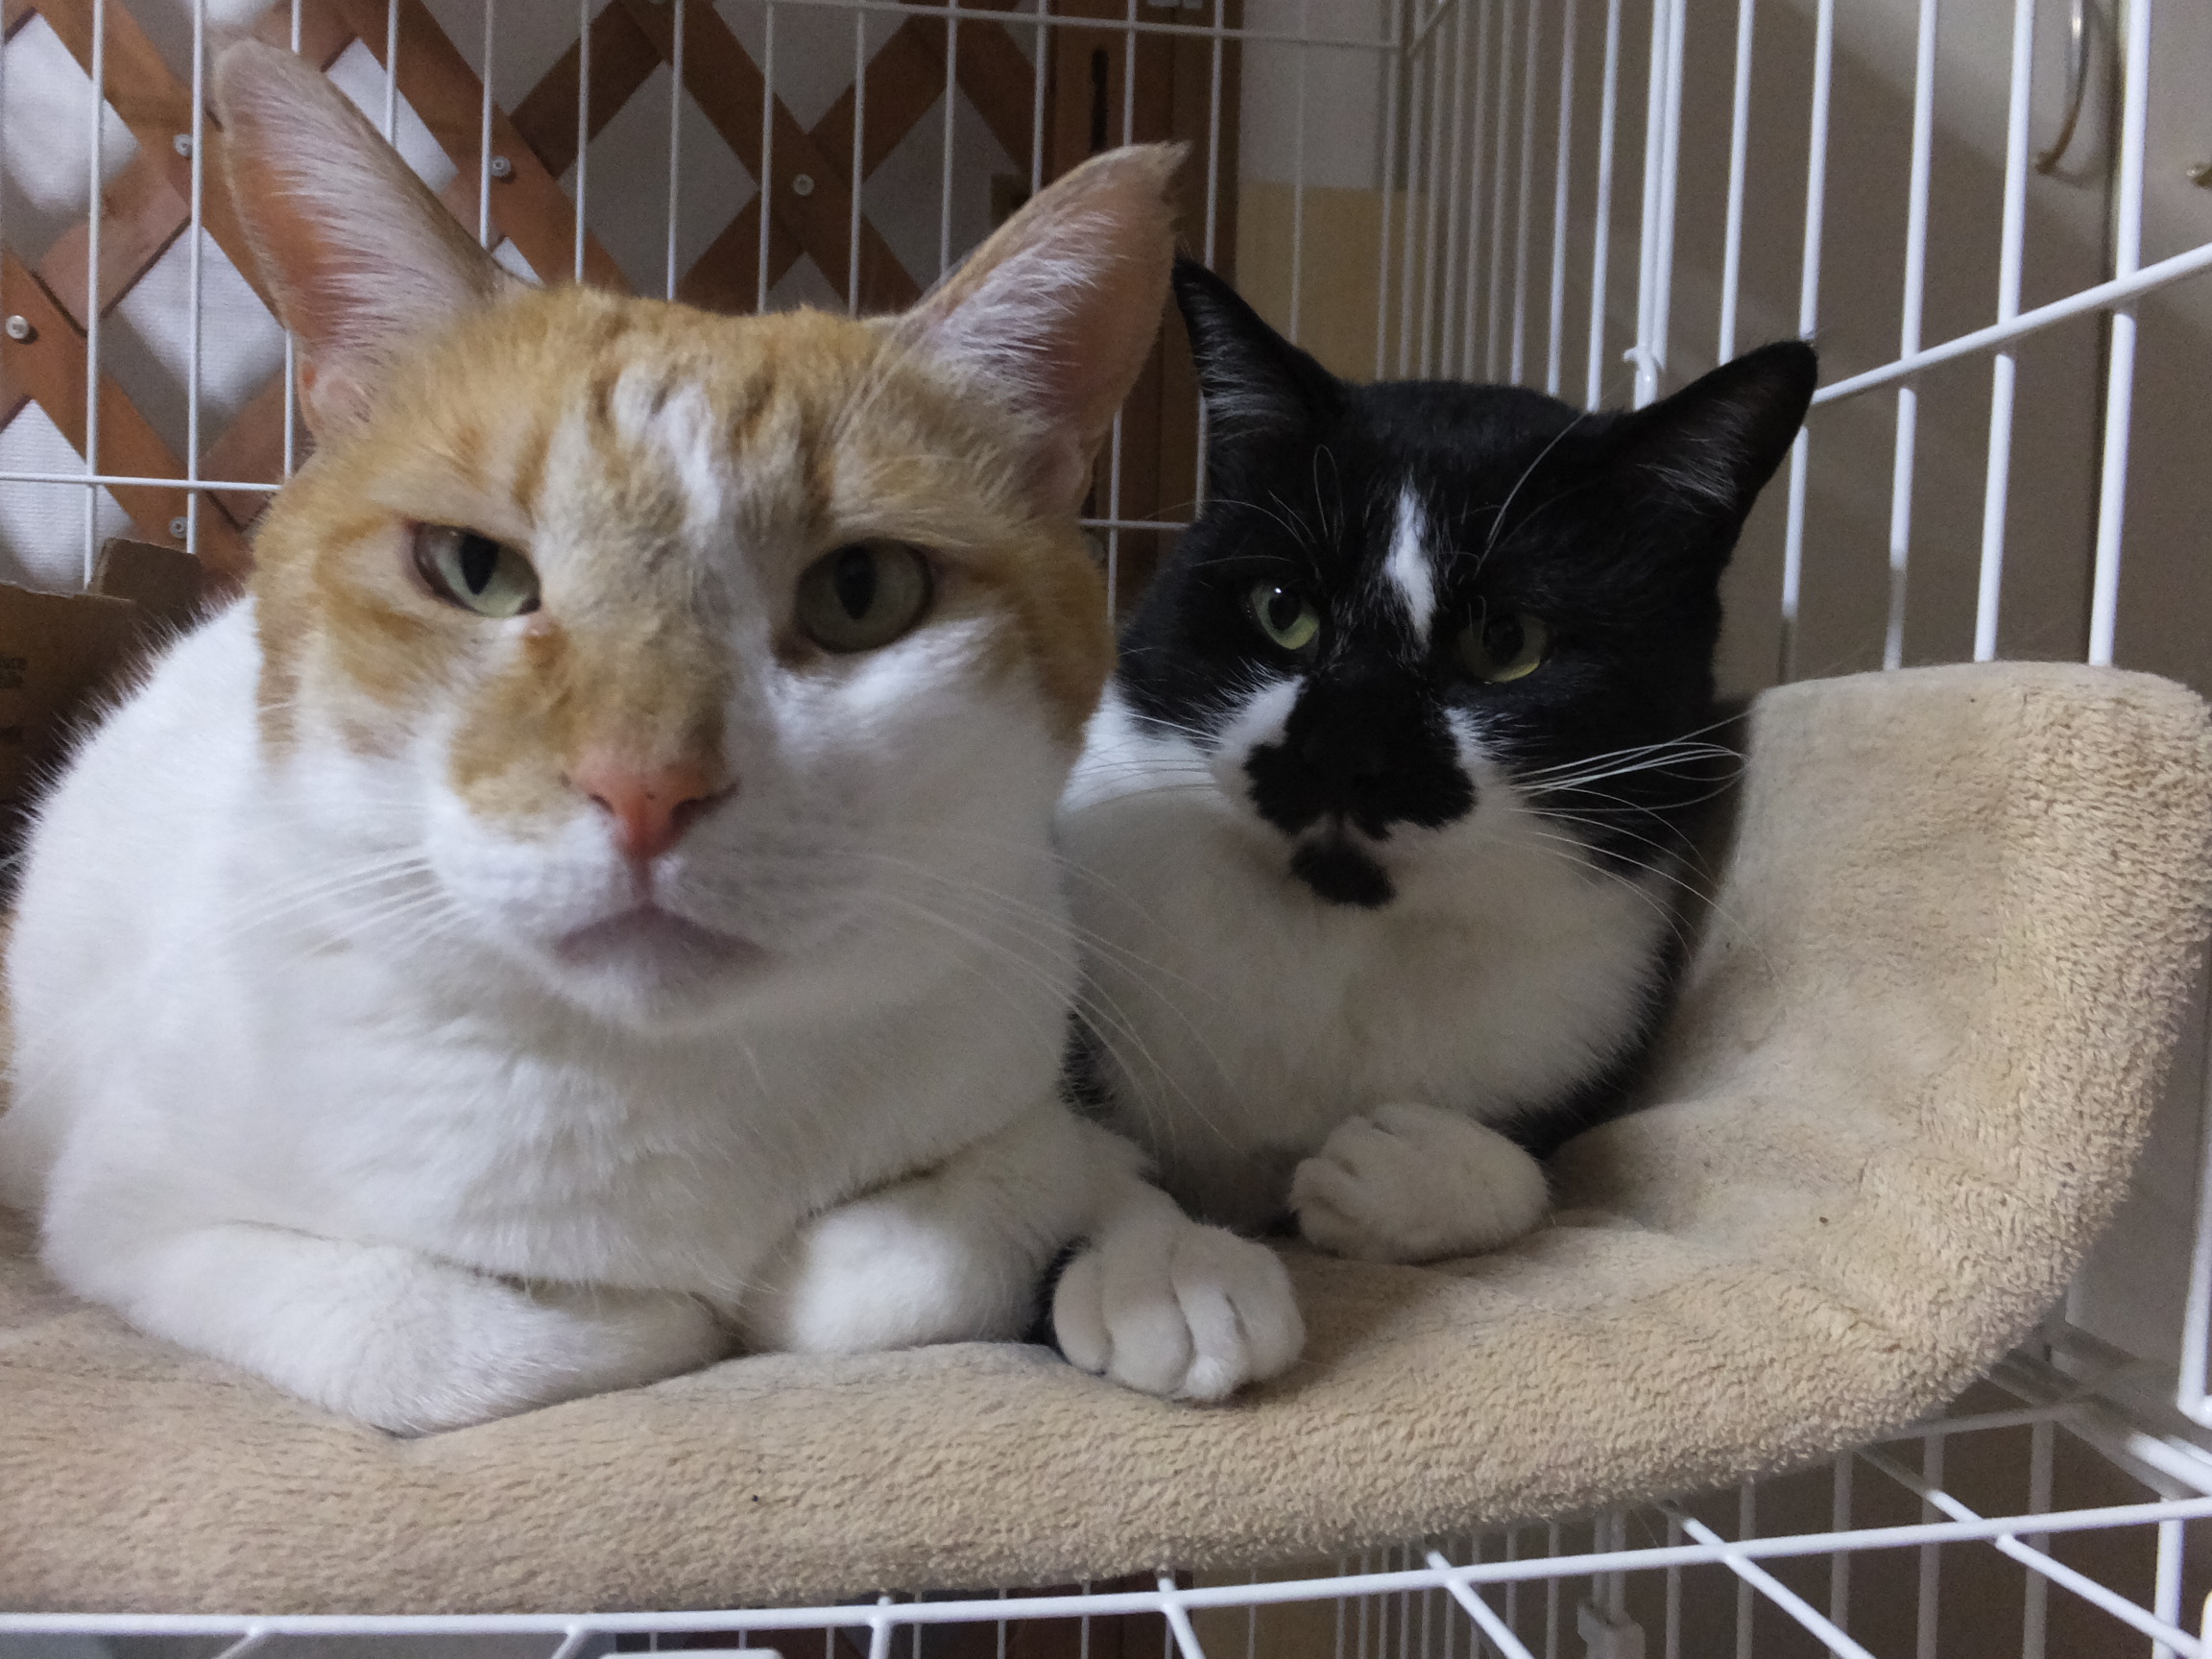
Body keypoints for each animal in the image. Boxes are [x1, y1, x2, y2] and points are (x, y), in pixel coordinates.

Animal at [0, 45, 1300, 1433]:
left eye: (862, 593)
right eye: (475, 571)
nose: (645, 787)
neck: (670, 1086)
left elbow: (966, 1224)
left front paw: (1165, 1260)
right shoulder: (122, 1213)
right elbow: (436, 1333)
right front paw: (665, 1313)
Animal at [1056, 258, 1815, 1263]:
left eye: (1509, 642)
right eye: (1283, 608)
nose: (1344, 746)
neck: (1342, 944)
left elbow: (1541, 1170)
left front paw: (1403, 1166)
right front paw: (1160, 1265)